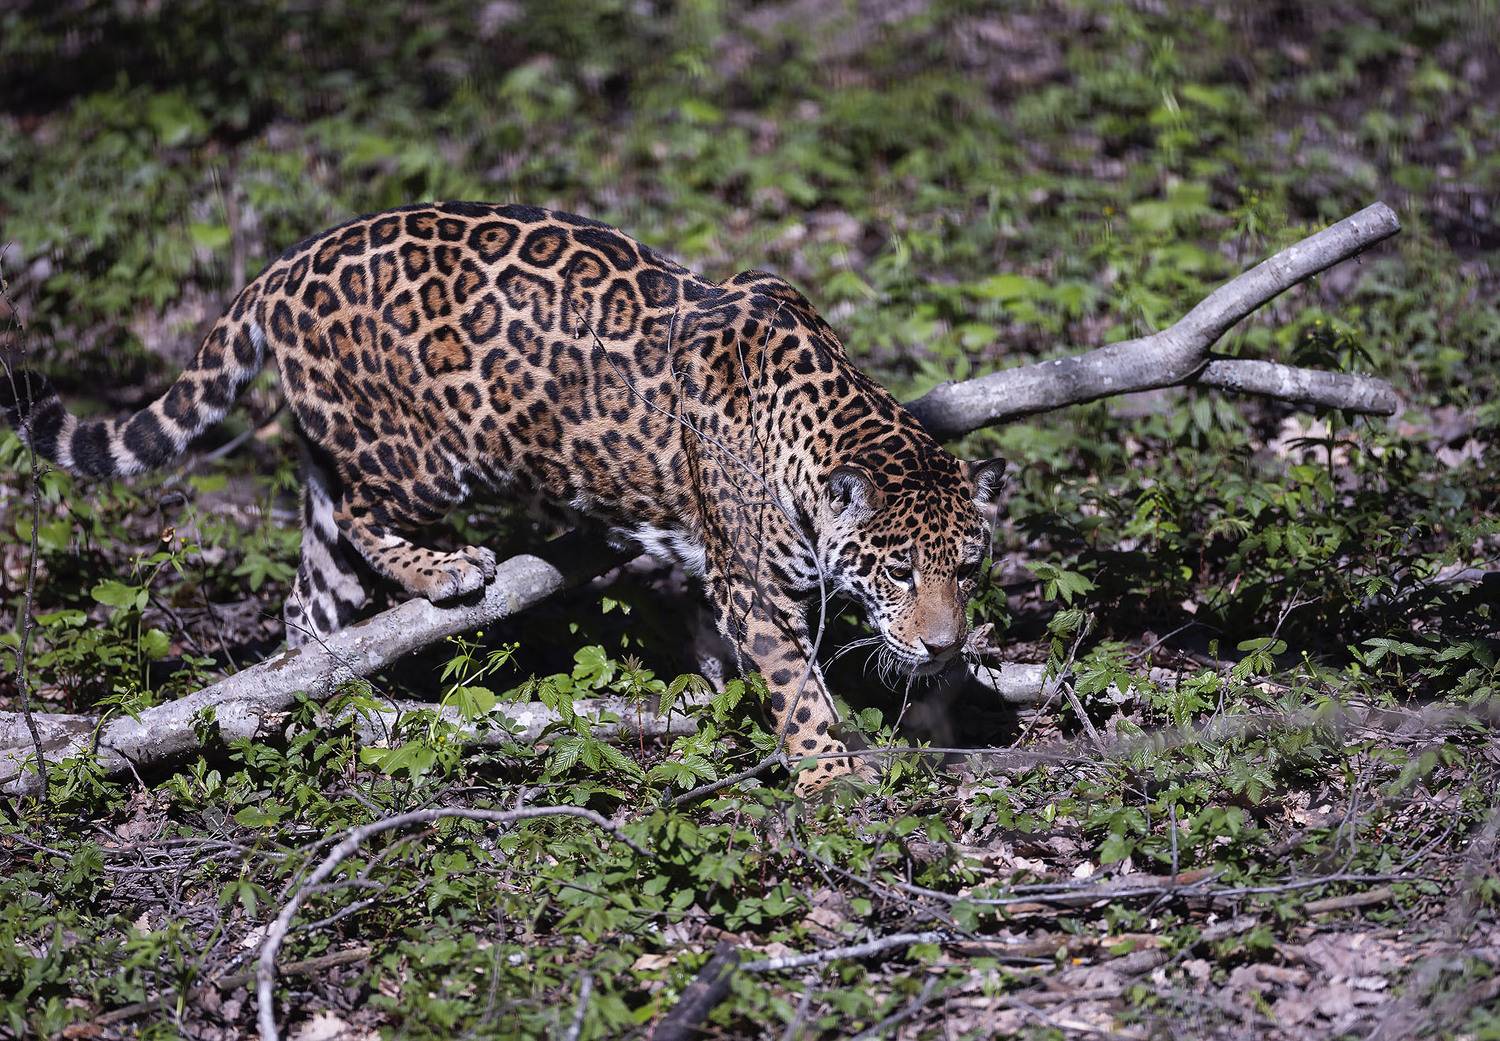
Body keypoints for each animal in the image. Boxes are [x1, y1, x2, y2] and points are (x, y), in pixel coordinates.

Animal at [2, 202, 1006, 790]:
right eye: (898, 570)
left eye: (964, 569)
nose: (944, 641)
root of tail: (282, 267)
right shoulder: (755, 584)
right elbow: (799, 689)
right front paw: (830, 777)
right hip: (420, 453)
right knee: (366, 517)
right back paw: (447, 572)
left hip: (330, 457)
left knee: (312, 589)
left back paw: (335, 701)